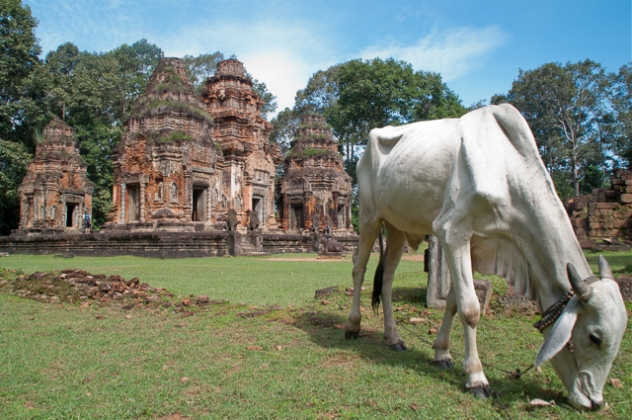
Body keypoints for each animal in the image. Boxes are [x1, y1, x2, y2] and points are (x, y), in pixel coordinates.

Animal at [346, 103, 628, 408]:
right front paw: (477, 379)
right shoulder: (452, 231)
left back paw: (394, 337)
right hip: (370, 216)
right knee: (359, 268)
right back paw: (353, 326)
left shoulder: (472, 243)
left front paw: (442, 354)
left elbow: (454, 303)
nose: (594, 402)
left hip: (397, 227)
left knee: (386, 279)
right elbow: (470, 309)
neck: (508, 173)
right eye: (594, 337)